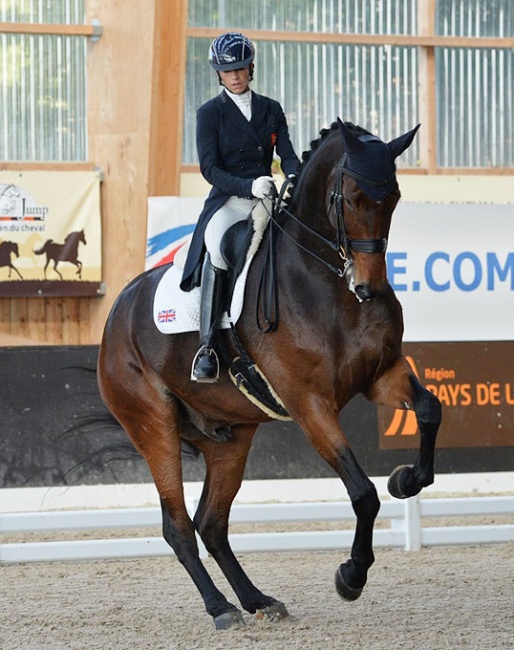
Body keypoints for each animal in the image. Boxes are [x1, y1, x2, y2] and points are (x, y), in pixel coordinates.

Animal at [96, 117, 440, 628]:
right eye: (349, 198)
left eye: (393, 197)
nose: (369, 288)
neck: (325, 282)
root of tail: (118, 309)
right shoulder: (309, 404)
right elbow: (363, 493)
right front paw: (351, 576)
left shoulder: (380, 376)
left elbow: (430, 410)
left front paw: (406, 480)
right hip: (152, 425)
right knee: (178, 526)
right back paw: (221, 608)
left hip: (232, 437)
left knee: (211, 523)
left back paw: (257, 599)